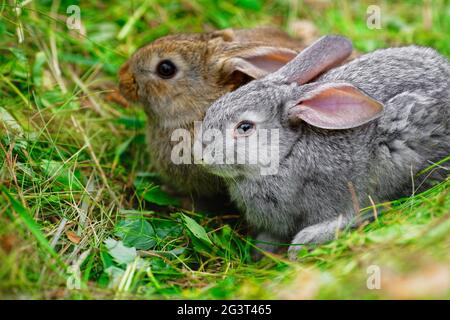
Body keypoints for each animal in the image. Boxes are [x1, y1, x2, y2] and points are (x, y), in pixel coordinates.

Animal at [200, 35, 450, 260]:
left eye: (245, 127)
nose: (201, 157)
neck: (287, 153)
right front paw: (261, 250)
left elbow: (354, 213)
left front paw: (301, 244)